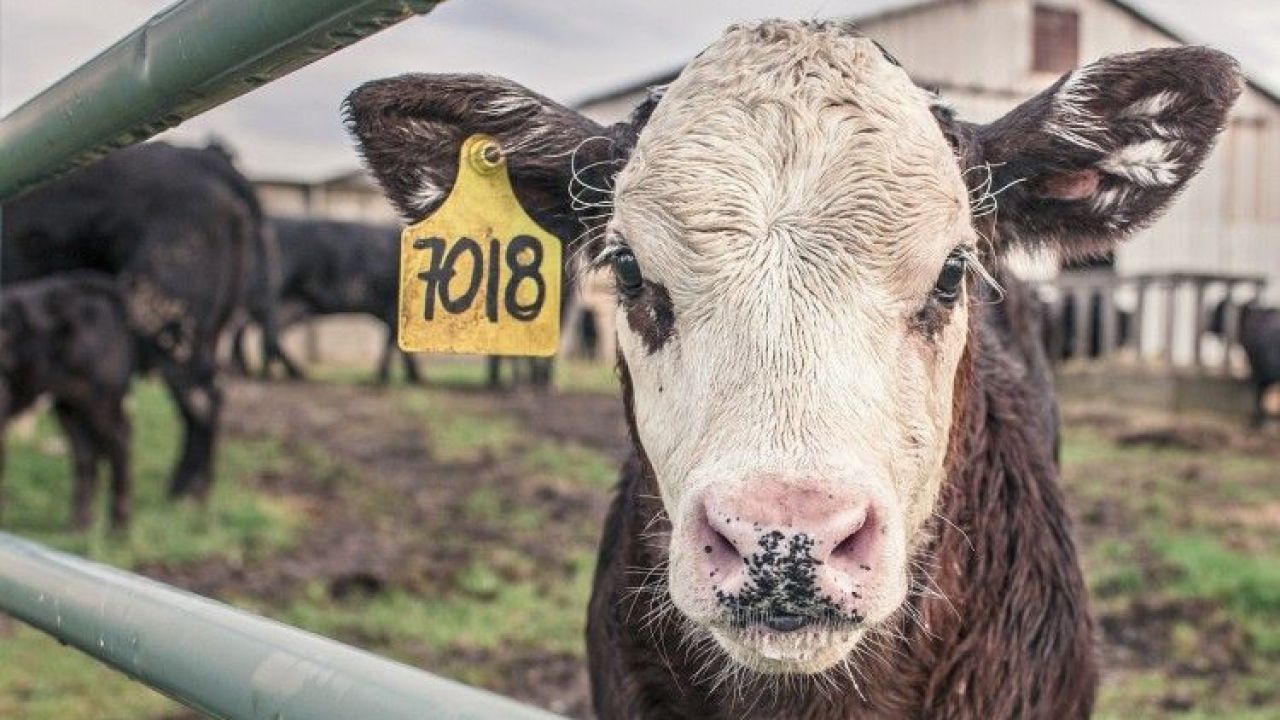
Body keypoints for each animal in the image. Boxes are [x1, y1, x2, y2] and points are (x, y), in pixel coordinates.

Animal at [0, 271, 132, 525]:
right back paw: (79, 524)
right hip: (70, 404)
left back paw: (118, 525)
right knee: (85, 454)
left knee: (120, 442)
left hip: (101, 399)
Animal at [225, 215, 414, 384]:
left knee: (256, 330)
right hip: (269, 295)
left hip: (288, 304)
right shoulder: (393, 307)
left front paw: (409, 377)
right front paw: (391, 377)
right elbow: (394, 341)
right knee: (258, 331)